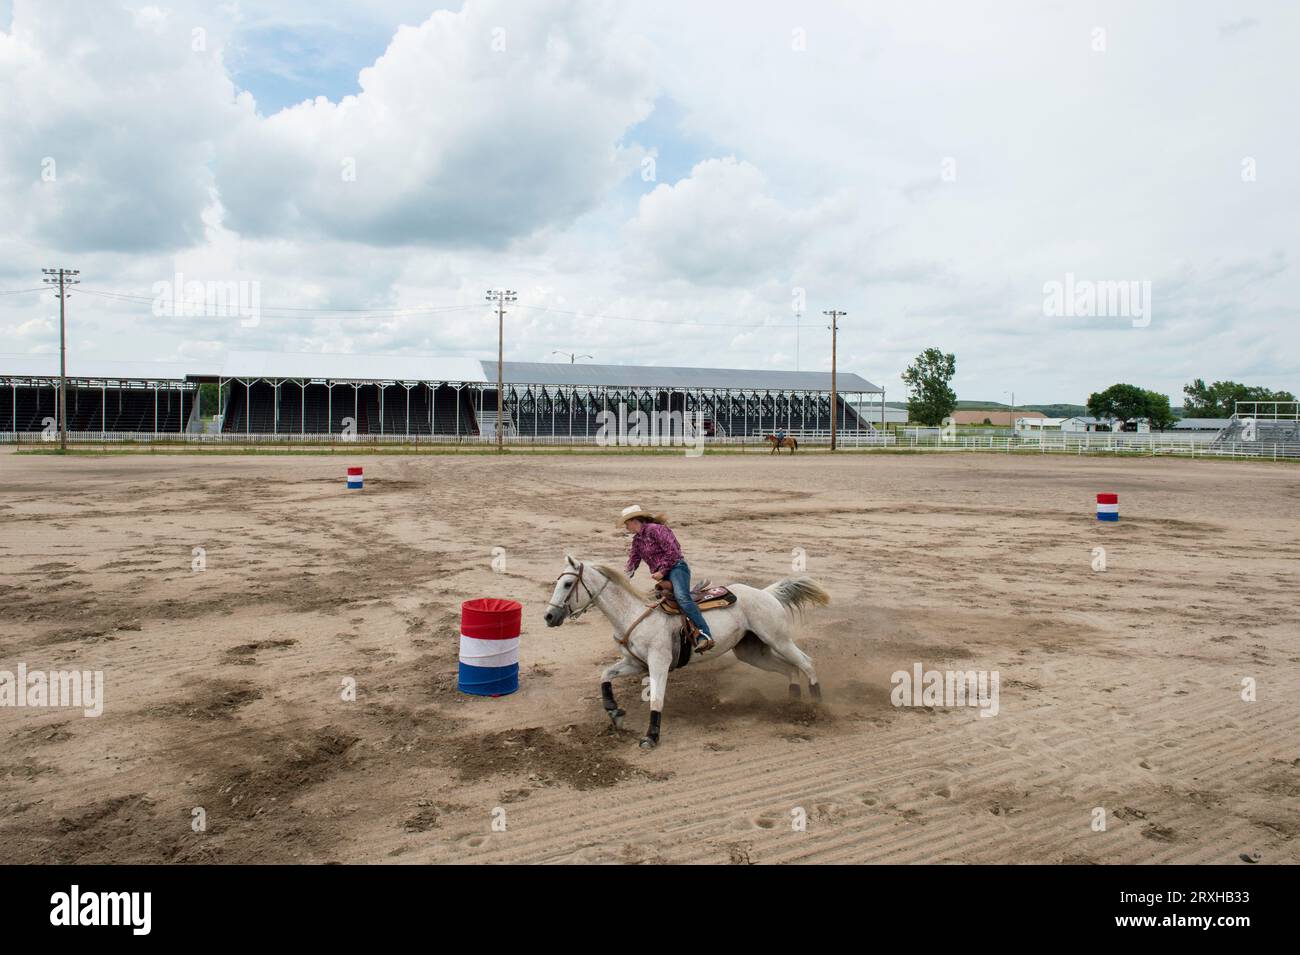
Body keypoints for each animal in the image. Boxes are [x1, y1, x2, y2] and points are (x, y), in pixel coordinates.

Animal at [540, 556, 826, 748]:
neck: (632, 613)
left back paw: (817, 702)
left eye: (567, 583)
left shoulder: (658, 662)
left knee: (807, 662)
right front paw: (614, 712)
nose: (549, 616)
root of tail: (766, 593)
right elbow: (605, 675)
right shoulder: (635, 663)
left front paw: (651, 737)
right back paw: (793, 700)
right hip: (752, 651)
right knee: (790, 667)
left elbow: (656, 699)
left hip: (778, 639)